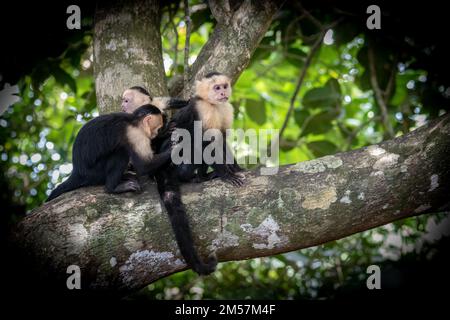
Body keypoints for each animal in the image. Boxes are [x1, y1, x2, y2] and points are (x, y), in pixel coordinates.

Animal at [156, 72, 246, 276]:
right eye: (216, 88)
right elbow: (207, 142)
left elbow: (222, 139)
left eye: (224, 86)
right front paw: (227, 175)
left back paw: (206, 176)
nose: (222, 93)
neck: (213, 104)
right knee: (190, 140)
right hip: (173, 161)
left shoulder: (225, 108)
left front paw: (236, 169)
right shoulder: (203, 110)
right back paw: (191, 177)